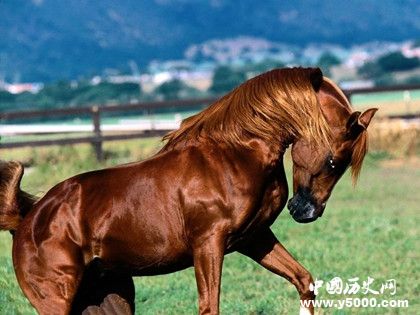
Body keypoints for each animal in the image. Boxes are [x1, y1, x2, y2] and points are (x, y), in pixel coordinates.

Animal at [0, 67, 378, 315]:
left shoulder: (254, 238)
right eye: (334, 161)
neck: (235, 154)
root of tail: (27, 220)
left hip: (108, 300)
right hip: (58, 300)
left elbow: (304, 280)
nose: (306, 211)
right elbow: (210, 307)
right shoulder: (208, 245)